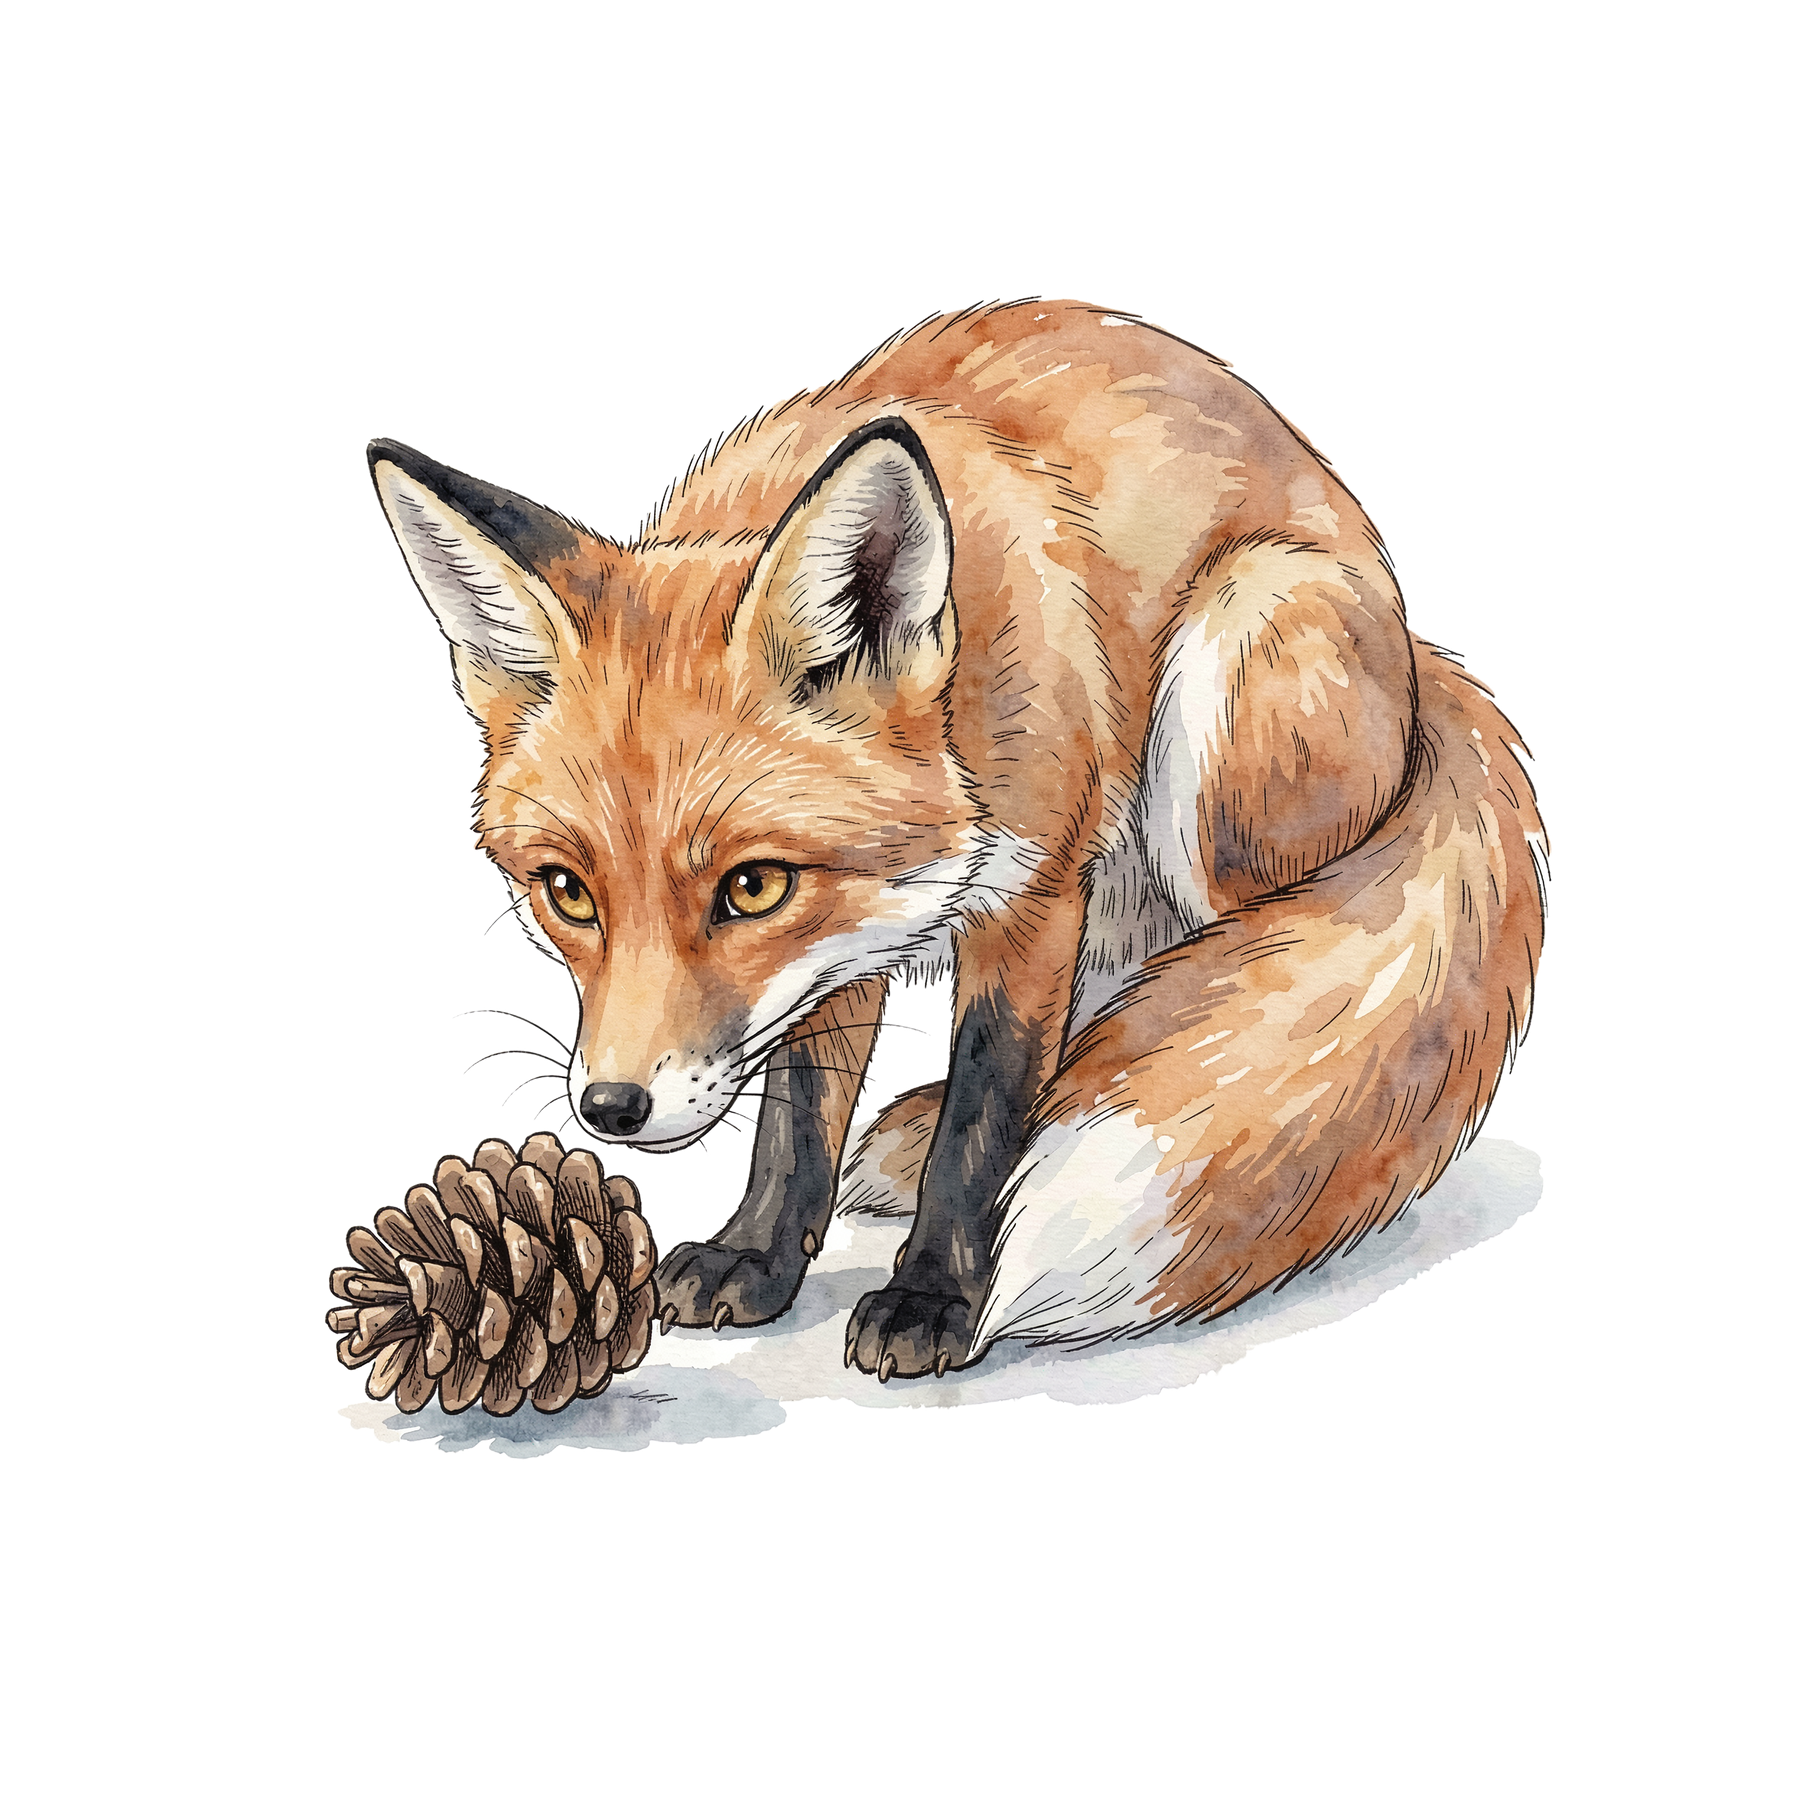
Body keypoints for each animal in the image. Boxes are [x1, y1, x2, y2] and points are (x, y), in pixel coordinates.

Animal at [369, 299, 1545, 1381]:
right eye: (567, 893)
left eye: (748, 888)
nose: (612, 1108)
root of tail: (1422, 654)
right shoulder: (839, 942)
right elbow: (798, 1113)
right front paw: (759, 1256)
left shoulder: (1036, 894)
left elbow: (988, 1114)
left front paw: (936, 1296)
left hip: (1227, 691)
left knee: (1221, 975)